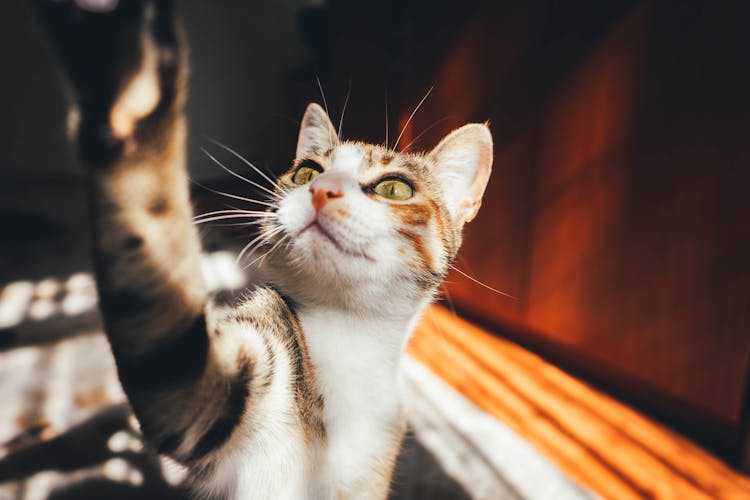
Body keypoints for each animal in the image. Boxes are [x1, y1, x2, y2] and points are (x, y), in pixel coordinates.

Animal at [35, 0, 494, 500]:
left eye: (395, 188)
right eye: (308, 171)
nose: (322, 190)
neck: (347, 336)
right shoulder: (216, 391)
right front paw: (135, 86)